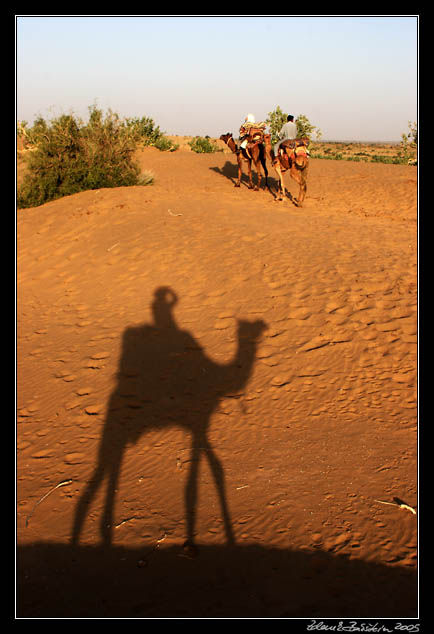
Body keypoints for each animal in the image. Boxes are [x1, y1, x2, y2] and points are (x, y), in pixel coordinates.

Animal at [71, 286, 266, 552]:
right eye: (243, 329)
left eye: (256, 329)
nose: (259, 336)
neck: (217, 377)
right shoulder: (199, 420)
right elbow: (197, 482)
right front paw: (196, 545)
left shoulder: (199, 425)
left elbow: (215, 468)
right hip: (115, 426)